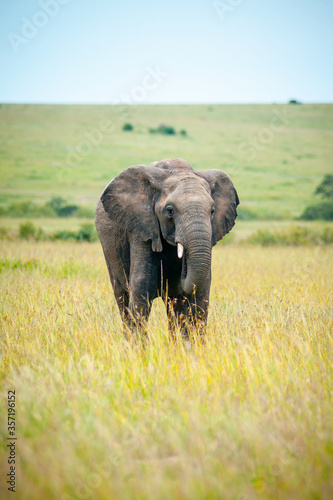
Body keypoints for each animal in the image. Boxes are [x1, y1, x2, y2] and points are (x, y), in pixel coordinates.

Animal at [94, 158, 237, 338]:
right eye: (170, 211)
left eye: (212, 211)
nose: (183, 266)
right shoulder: (142, 228)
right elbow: (142, 289)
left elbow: (199, 298)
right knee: (122, 299)